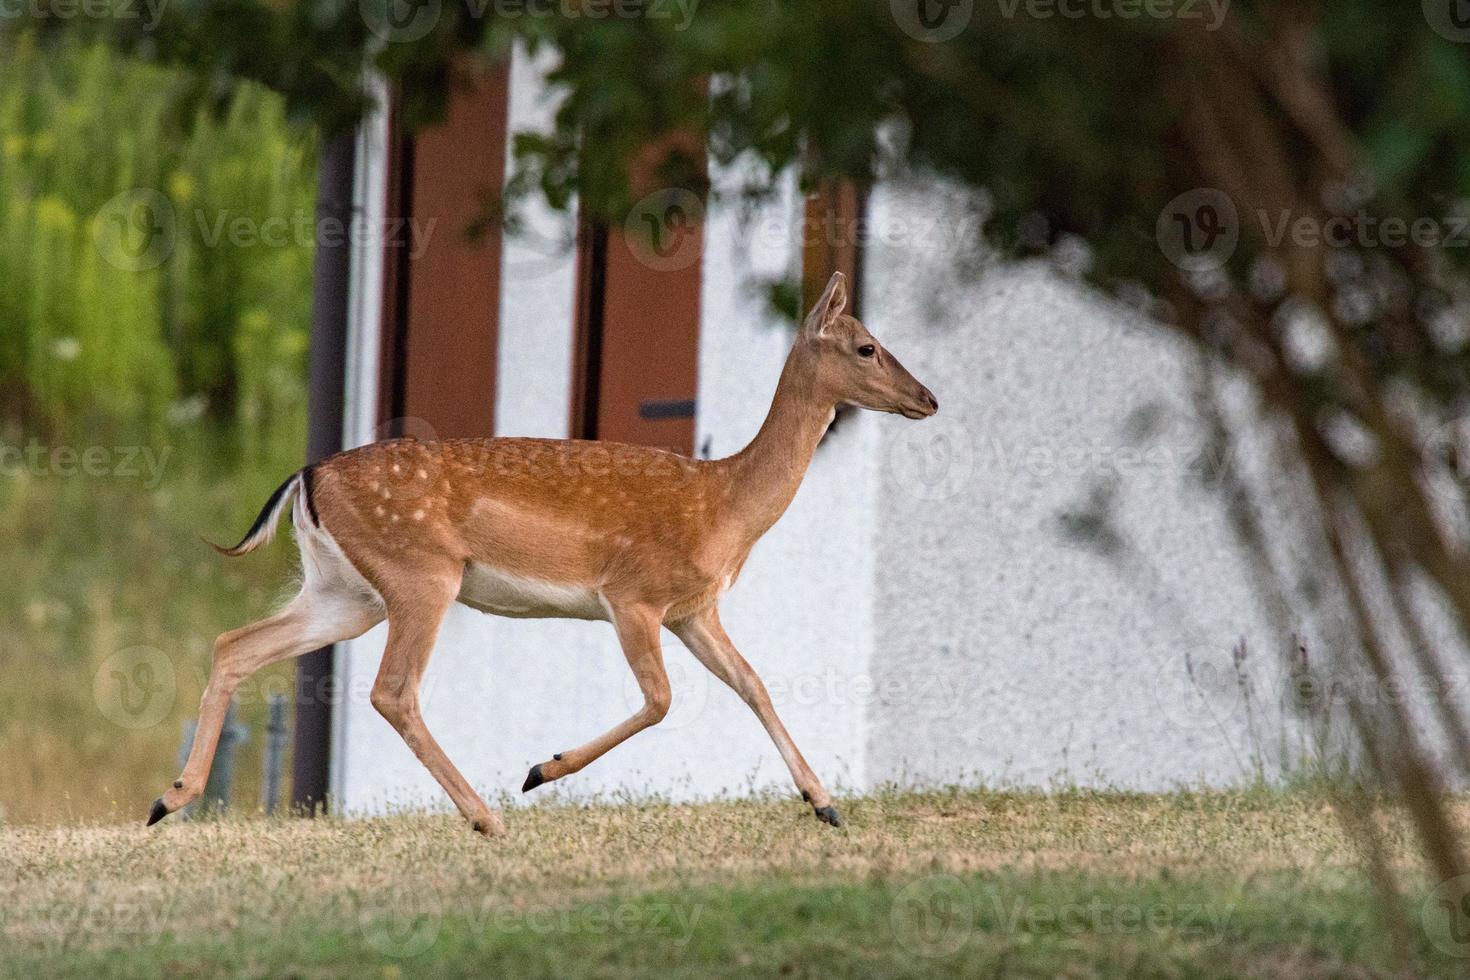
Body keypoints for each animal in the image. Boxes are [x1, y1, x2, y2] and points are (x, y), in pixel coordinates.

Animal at [143, 271, 934, 840]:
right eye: (866, 345)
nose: (928, 398)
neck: (724, 504)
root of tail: (307, 475)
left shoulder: (695, 610)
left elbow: (754, 684)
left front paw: (825, 803)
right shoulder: (633, 595)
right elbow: (662, 700)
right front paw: (540, 769)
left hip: (345, 591)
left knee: (236, 642)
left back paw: (168, 798)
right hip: (420, 572)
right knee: (392, 690)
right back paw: (487, 815)